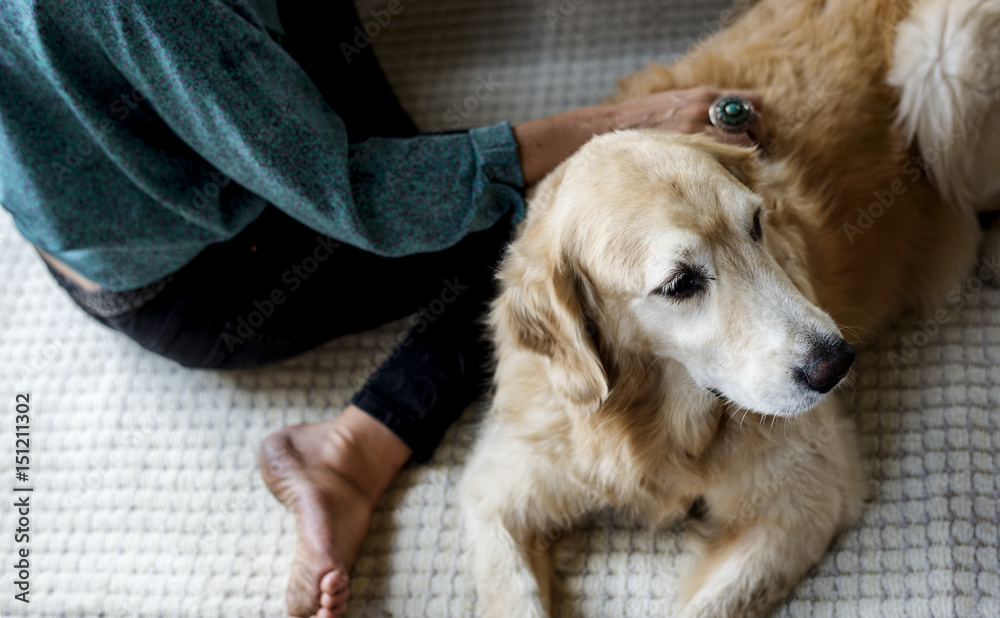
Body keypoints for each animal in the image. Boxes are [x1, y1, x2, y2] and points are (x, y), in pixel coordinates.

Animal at [458, 1, 992, 616]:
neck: (655, 419)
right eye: (680, 283)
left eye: (756, 224)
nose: (837, 365)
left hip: (943, 56)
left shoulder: (809, 496)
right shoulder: (501, 485)